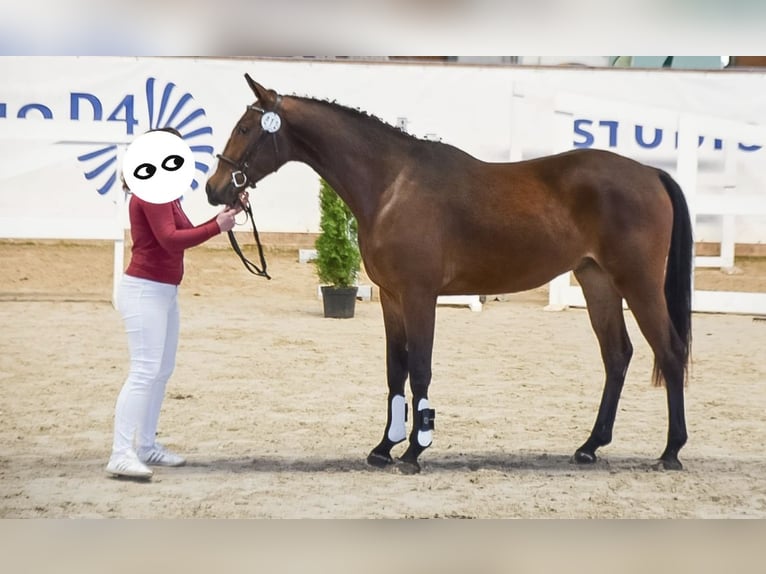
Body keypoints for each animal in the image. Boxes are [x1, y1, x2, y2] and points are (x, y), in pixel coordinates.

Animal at [206, 74, 693, 474]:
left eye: (245, 129)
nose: (215, 189)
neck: (392, 184)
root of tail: (650, 173)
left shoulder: (419, 295)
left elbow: (420, 368)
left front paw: (414, 450)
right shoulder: (391, 297)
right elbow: (396, 370)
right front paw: (384, 447)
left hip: (639, 284)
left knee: (669, 352)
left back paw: (670, 452)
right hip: (598, 282)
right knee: (617, 355)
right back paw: (590, 446)